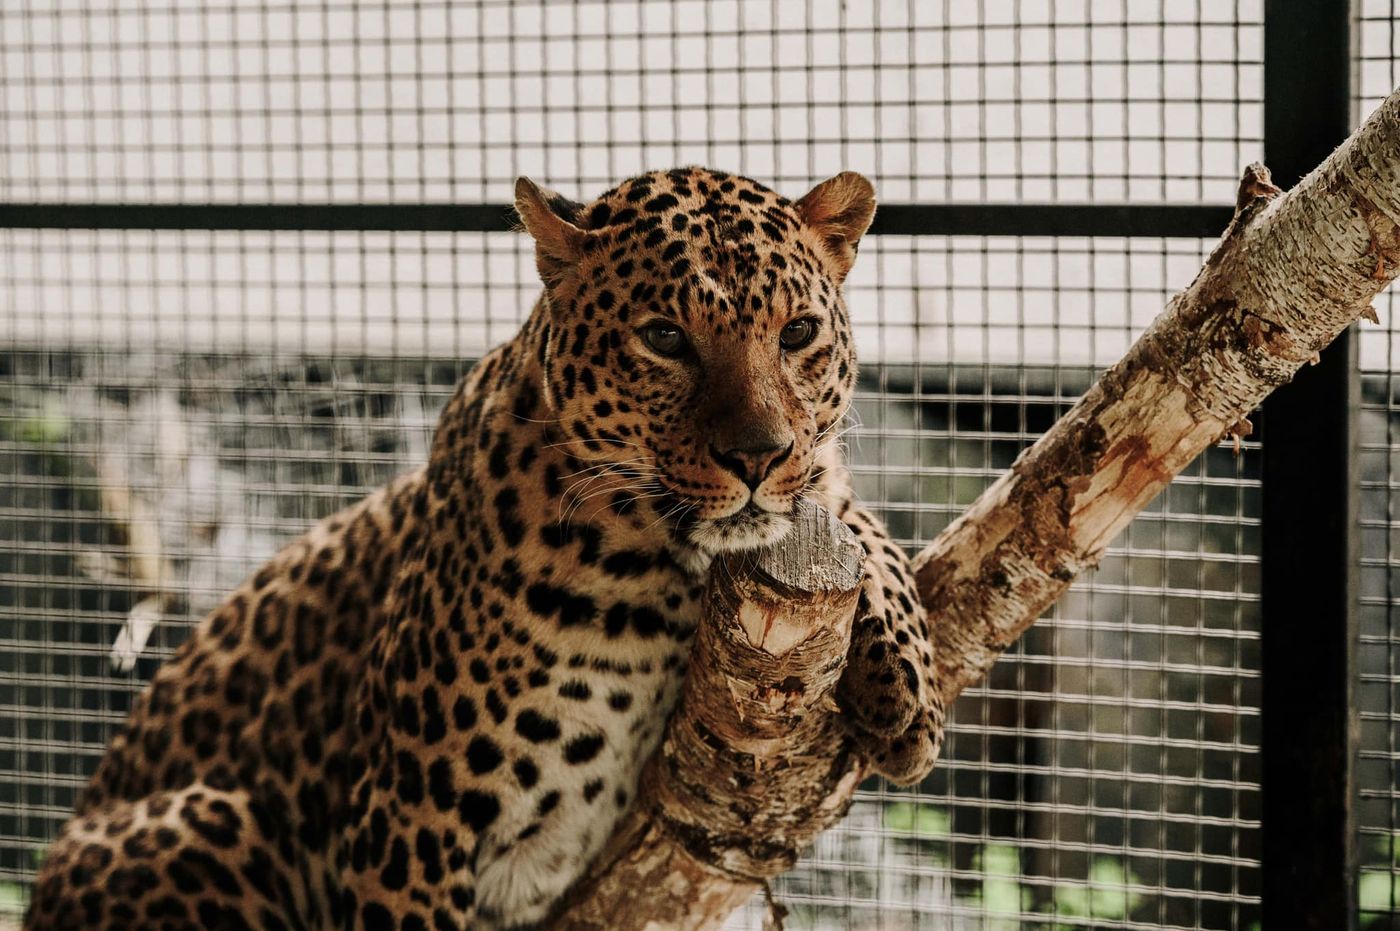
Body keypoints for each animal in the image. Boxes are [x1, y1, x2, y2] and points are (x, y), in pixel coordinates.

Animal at [24, 167, 940, 929]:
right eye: (664, 338)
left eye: (798, 332)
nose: (757, 456)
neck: (667, 567)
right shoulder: (409, 815)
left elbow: (858, 519)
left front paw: (910, 696)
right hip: (210, 821)